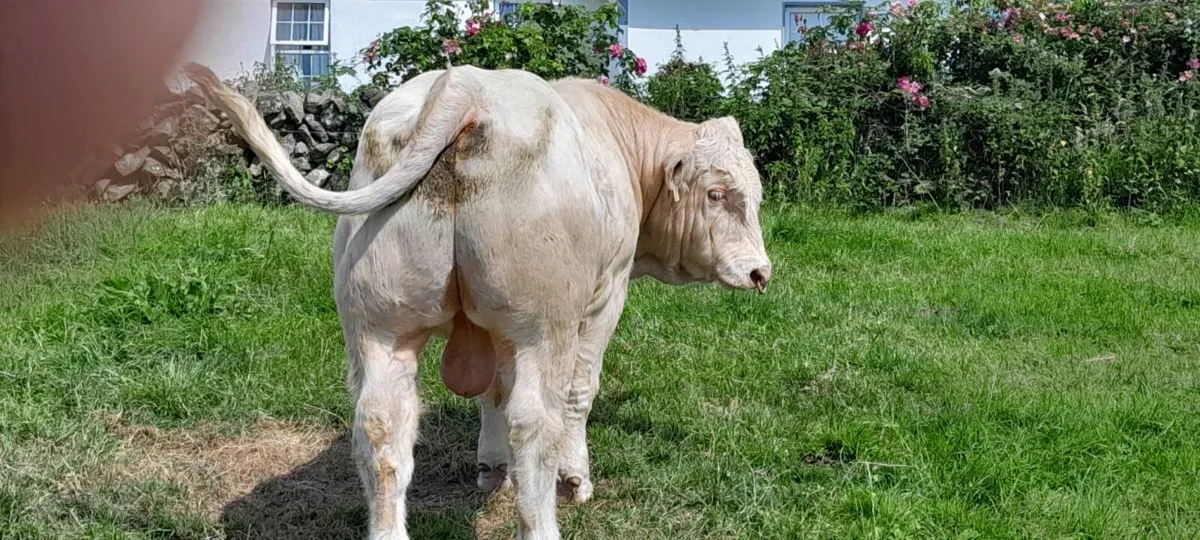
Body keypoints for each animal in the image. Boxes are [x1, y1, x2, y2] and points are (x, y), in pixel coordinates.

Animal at [182, 62, 772, 540]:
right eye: (718, 194)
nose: (761, 272)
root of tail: (466, 87)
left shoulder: (489, 331)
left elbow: (491, 392)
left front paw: (491, 468)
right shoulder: (605, 297)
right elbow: (576, 393)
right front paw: (574, 479)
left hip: (378, 325)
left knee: (381, 426)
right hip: (543, 326)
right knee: (535, 421)